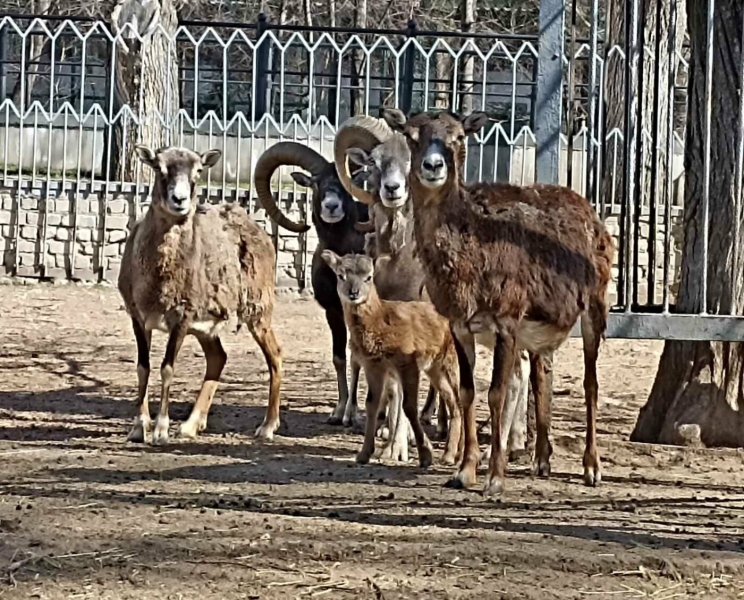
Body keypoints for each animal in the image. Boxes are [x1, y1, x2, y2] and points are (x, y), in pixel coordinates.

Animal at [117, 145, 284, 446]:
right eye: (159, 167)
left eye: (198, 170)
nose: (179, 200)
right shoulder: (138, 317)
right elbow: (143, 367)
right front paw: (138, 429)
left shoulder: (181, 318)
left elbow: (167, 368)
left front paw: (160, 431)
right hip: (207, 328)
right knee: (218, 358)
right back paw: (190, 426)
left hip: (258, 311)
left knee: (274, 355)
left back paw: (267, 427)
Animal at [322, 251, 462, 466]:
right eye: (340, 275)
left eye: (369, 276)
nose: (354, 292)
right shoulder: (374, 366)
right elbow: (371, 403)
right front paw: (363, 454)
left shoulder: (407, 362)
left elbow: (409, 406)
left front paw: (425, 455)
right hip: (434, 368)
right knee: (454, 401)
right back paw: (449, 455)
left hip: (451, 360)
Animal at [380, 109, 612, 496]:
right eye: (412, 135)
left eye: (459, 136)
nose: (433, 166)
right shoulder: (461, 326)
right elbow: (468, 392)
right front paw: (463, 472)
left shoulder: (506, 323)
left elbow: (496, 393)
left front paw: (494, 479)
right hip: (537, 333)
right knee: (541, 376)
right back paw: (541, 461)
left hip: (595, 308)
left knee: (590, 383)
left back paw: (591, 468)